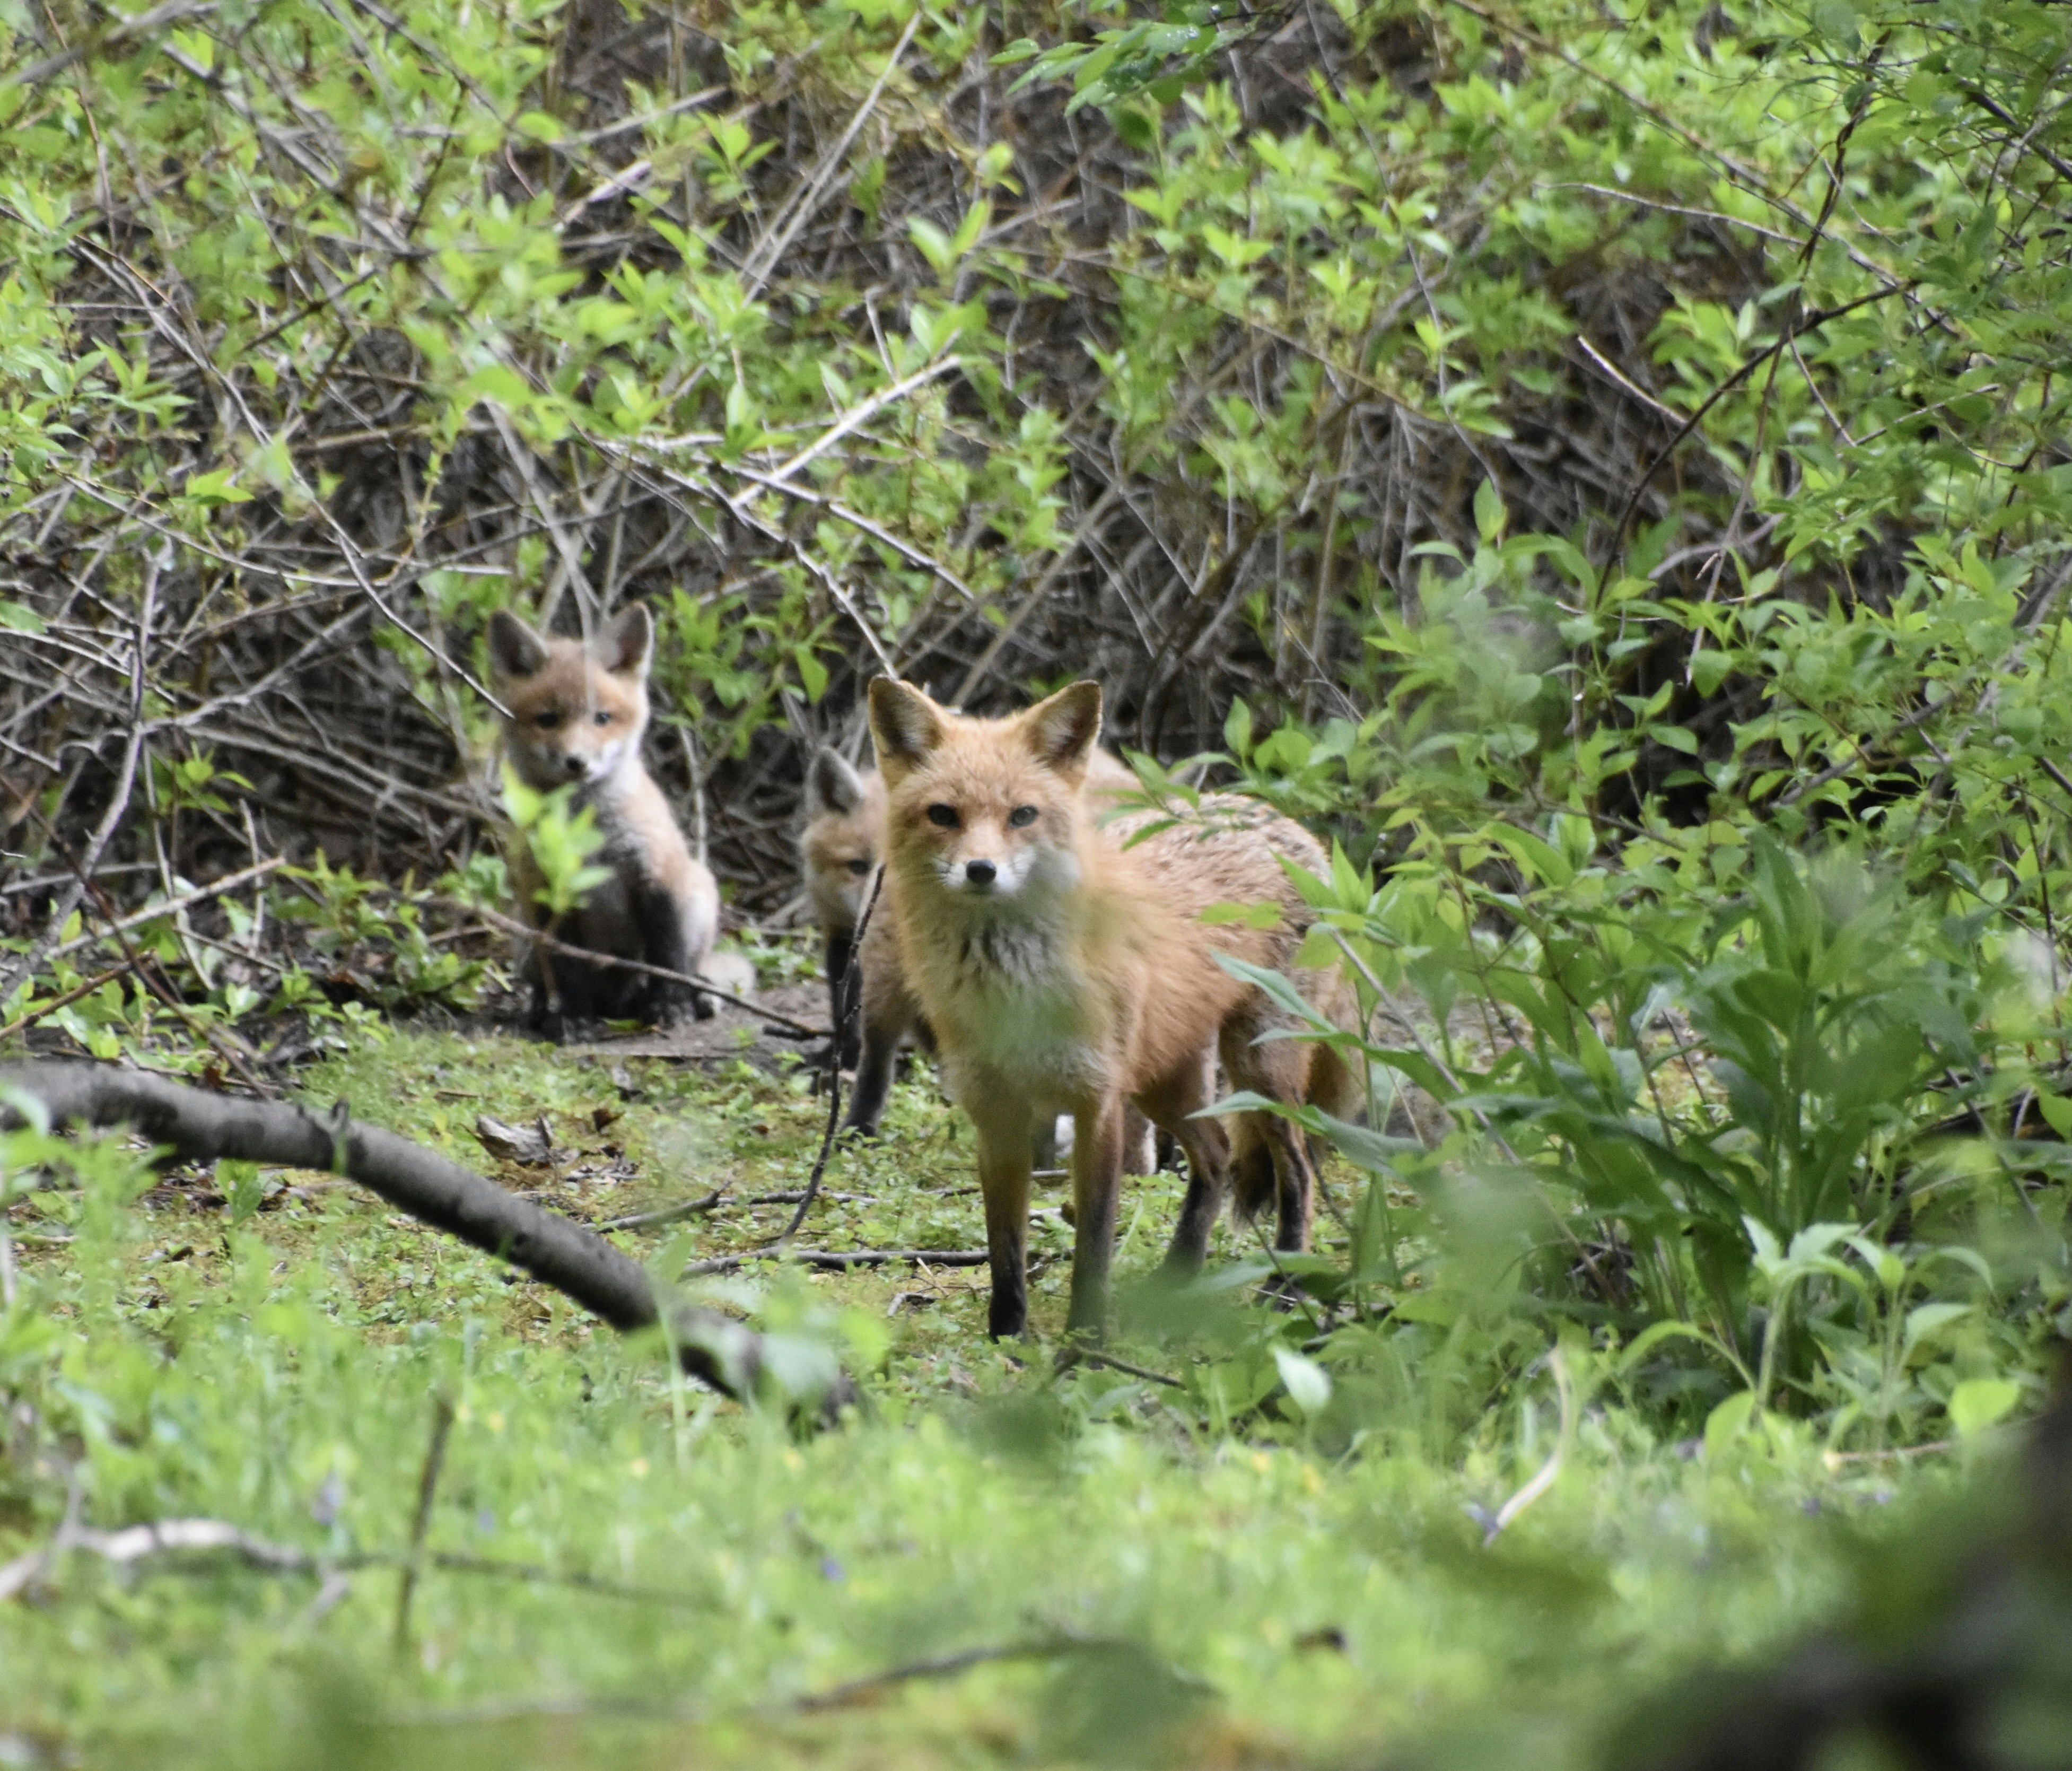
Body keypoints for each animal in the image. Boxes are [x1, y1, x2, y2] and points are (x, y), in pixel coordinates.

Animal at [488, 605, 722, 1038]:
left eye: (602, 718)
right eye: (548, 719)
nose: (577, 762)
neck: (590, 835)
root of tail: (616, 1002)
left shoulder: (656, 875)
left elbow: (667, 958)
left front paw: (669, 1007)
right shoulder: (548, 891)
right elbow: (567, 970)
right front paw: (573, 1020)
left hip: (698, 898)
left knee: (688, 968)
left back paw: (694, 996)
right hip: (525, 939)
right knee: (545, 983)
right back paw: (545, 1010)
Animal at [866, 676, 1359, 1340]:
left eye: (1023, 816)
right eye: (944, 815)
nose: (981, 871)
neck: (1014, 986)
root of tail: (1284, 825)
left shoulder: (1096, 1100)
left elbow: (1093, 1245)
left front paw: (1085, 1342)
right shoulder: (994, 1110)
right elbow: (1004, 1248)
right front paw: (1006, 1339)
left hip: (1260, 1070)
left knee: (1299, 1171)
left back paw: (1285, 1291)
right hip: (1164, 1082)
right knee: (1216, 1157)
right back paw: (1177, 1283)